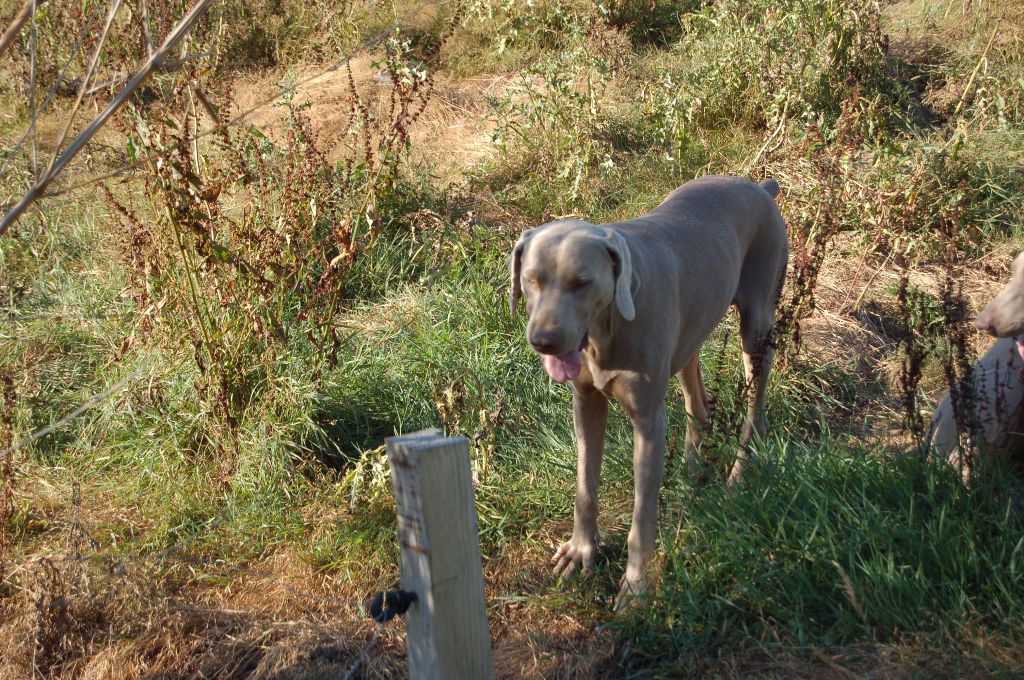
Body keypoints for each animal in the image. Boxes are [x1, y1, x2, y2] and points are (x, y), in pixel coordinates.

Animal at [507, 175, 786, 606]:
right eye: (531, 279)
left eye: (582, 283)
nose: (543, 341)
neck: (605, 331)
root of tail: (759, 186)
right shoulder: (586, 403)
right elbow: (585, 487)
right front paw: (581, 550)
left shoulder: (648, 422)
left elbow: (642, 516)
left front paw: (636, 587)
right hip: (691, 329)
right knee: (697, 402)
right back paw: (691, 469)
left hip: (757, 324)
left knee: (756, 411)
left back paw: (740, 472)